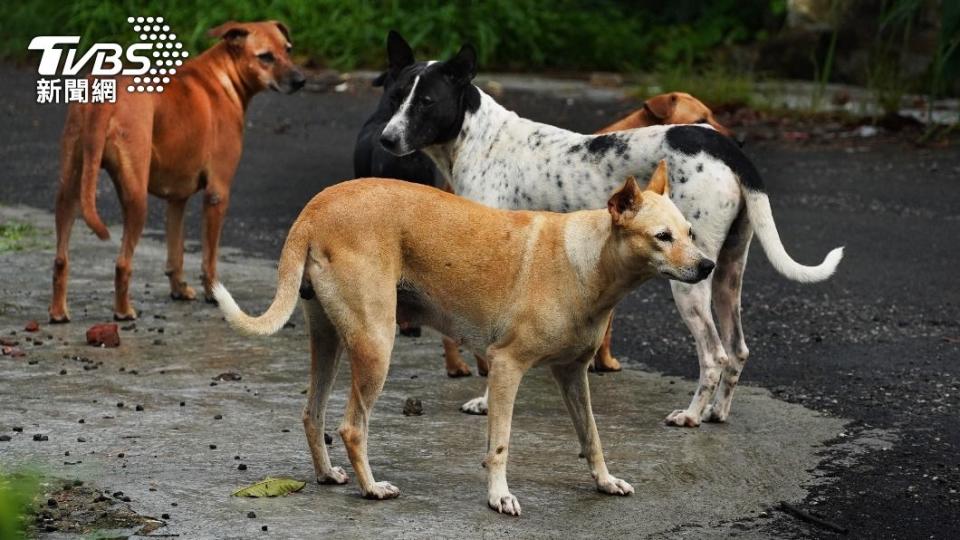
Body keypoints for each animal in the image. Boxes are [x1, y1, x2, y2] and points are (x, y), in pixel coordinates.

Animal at [49, 21, 304, 322]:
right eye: (265, 57)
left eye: (288, 49)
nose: (300, 81)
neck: (223, 75)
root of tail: (103, 97)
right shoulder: (217, 194)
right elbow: (209, 259)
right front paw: (212, 293)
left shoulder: (176, 198)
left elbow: (175, 252)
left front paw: (179, 289)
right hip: (136, 199)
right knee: (122, 264)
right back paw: (123, 311)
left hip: (69, 190)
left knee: (60, 259)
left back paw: (58, 311)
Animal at [214, 162, 716, 516]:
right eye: (662, 237)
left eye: (690, 232)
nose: (709, 265)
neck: (587, 260)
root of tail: (314, 209)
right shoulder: (507, 367)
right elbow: (500, 445)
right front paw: (498, 497)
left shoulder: (572, 375)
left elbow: (591, 436)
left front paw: (604, 481)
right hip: (376, 345)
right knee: (351, 427)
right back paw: (371, 488)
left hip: (332, 343)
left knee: (311, 413)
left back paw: (326, 475)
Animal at [378, 35, 844, 428]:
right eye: (395, 97)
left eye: (427, 102)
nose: (386, 139)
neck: (480, 139)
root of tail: (725, 146)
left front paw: (485, 401)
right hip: (728, 272)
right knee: (737, 350)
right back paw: (717, 412)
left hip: (691, 280)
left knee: (714, 355)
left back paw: (691, 416)